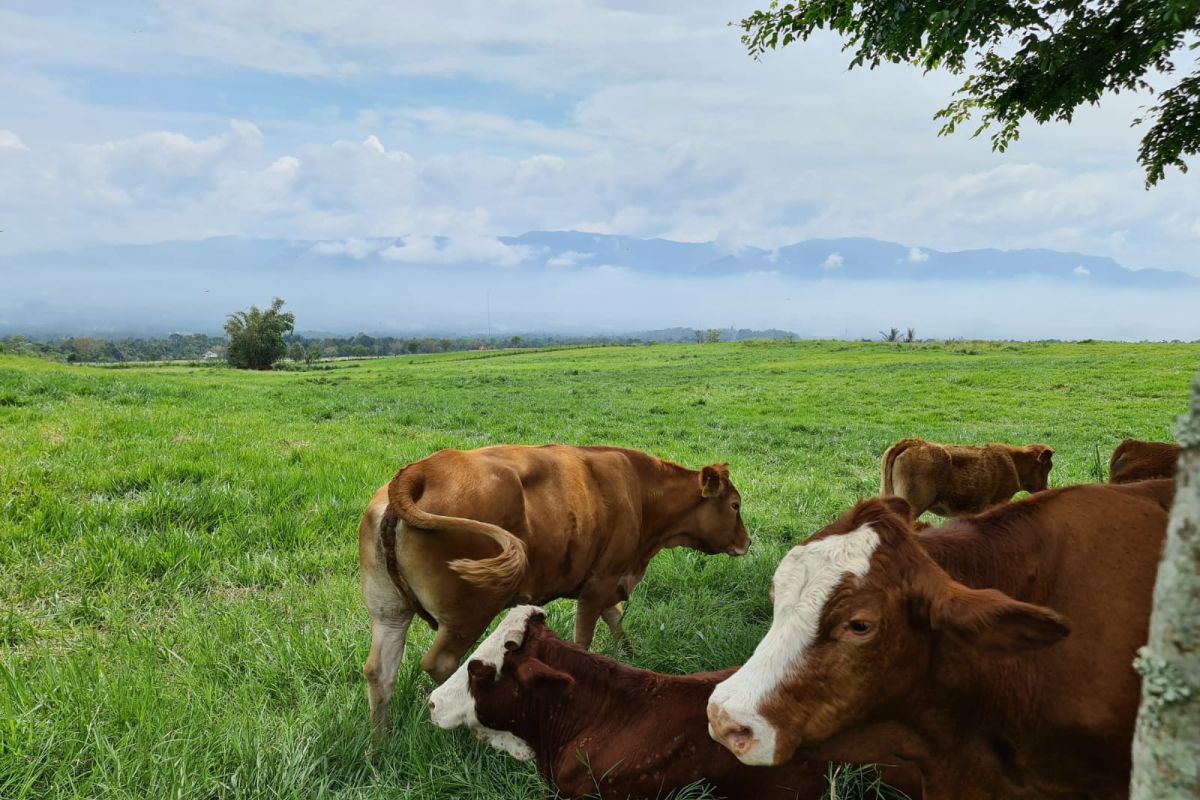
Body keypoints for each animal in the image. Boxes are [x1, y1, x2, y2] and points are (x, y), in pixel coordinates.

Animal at [355, 443, 748, 738]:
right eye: (735, 505)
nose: (747, 542)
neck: (640, 492)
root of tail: (423, 469)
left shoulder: (608, 581)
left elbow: (616, 618)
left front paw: (633, 657)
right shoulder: (600, 581)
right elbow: (585, 638)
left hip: (388, 612)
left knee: (380, 671)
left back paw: (379, 745)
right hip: (468, 614)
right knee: (442, 665)